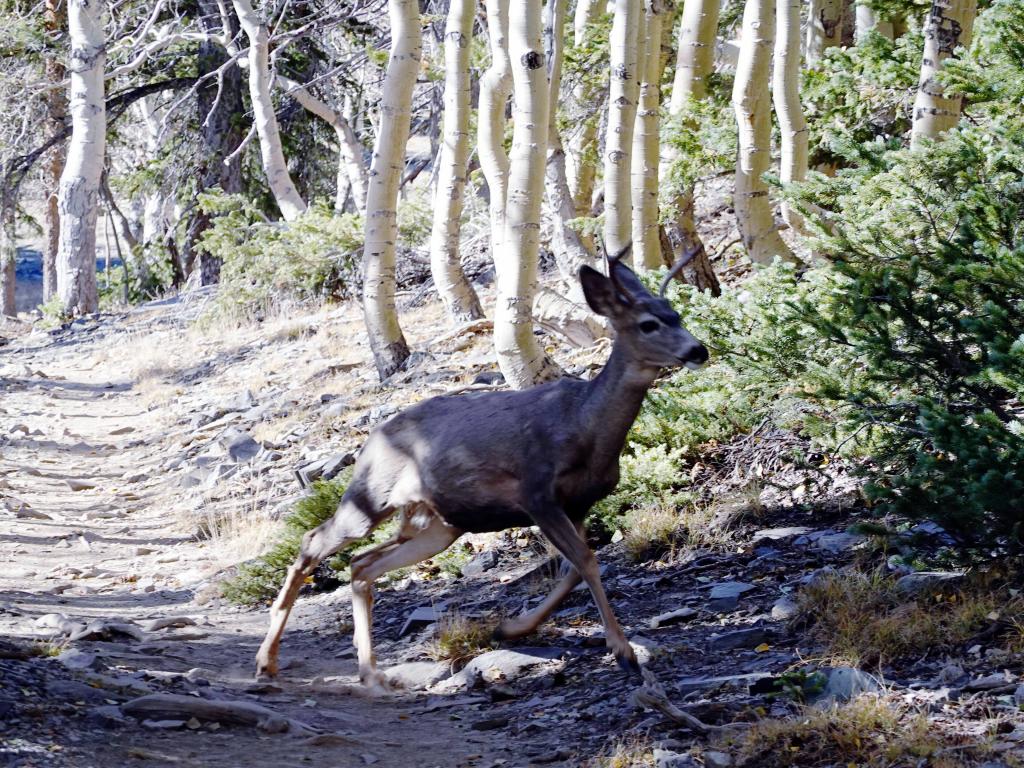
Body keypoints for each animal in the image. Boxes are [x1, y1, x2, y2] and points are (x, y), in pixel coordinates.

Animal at [253, 253, 712, 692]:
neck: (585, 424)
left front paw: (511, 628)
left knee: (362, 565)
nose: (698, 351)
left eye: (676, 315)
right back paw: (267, 662)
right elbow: (585, 561)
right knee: (314, 542)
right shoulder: (536, 493)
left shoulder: (577, 503)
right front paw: (623, 652)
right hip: (371, 497)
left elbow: (572, 570)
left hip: (438, 524)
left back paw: (369, 673)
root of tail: (371, 439)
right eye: (649, 324)